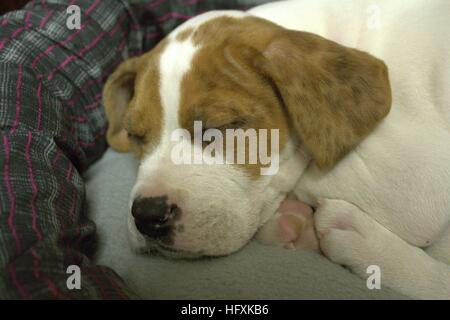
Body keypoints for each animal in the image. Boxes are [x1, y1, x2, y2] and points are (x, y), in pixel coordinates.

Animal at [103, 0, 450, 300]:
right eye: (135, 135)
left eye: (221, 127)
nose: (148, 216)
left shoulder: (414, 178)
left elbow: (302, 172)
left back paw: (363, 240)